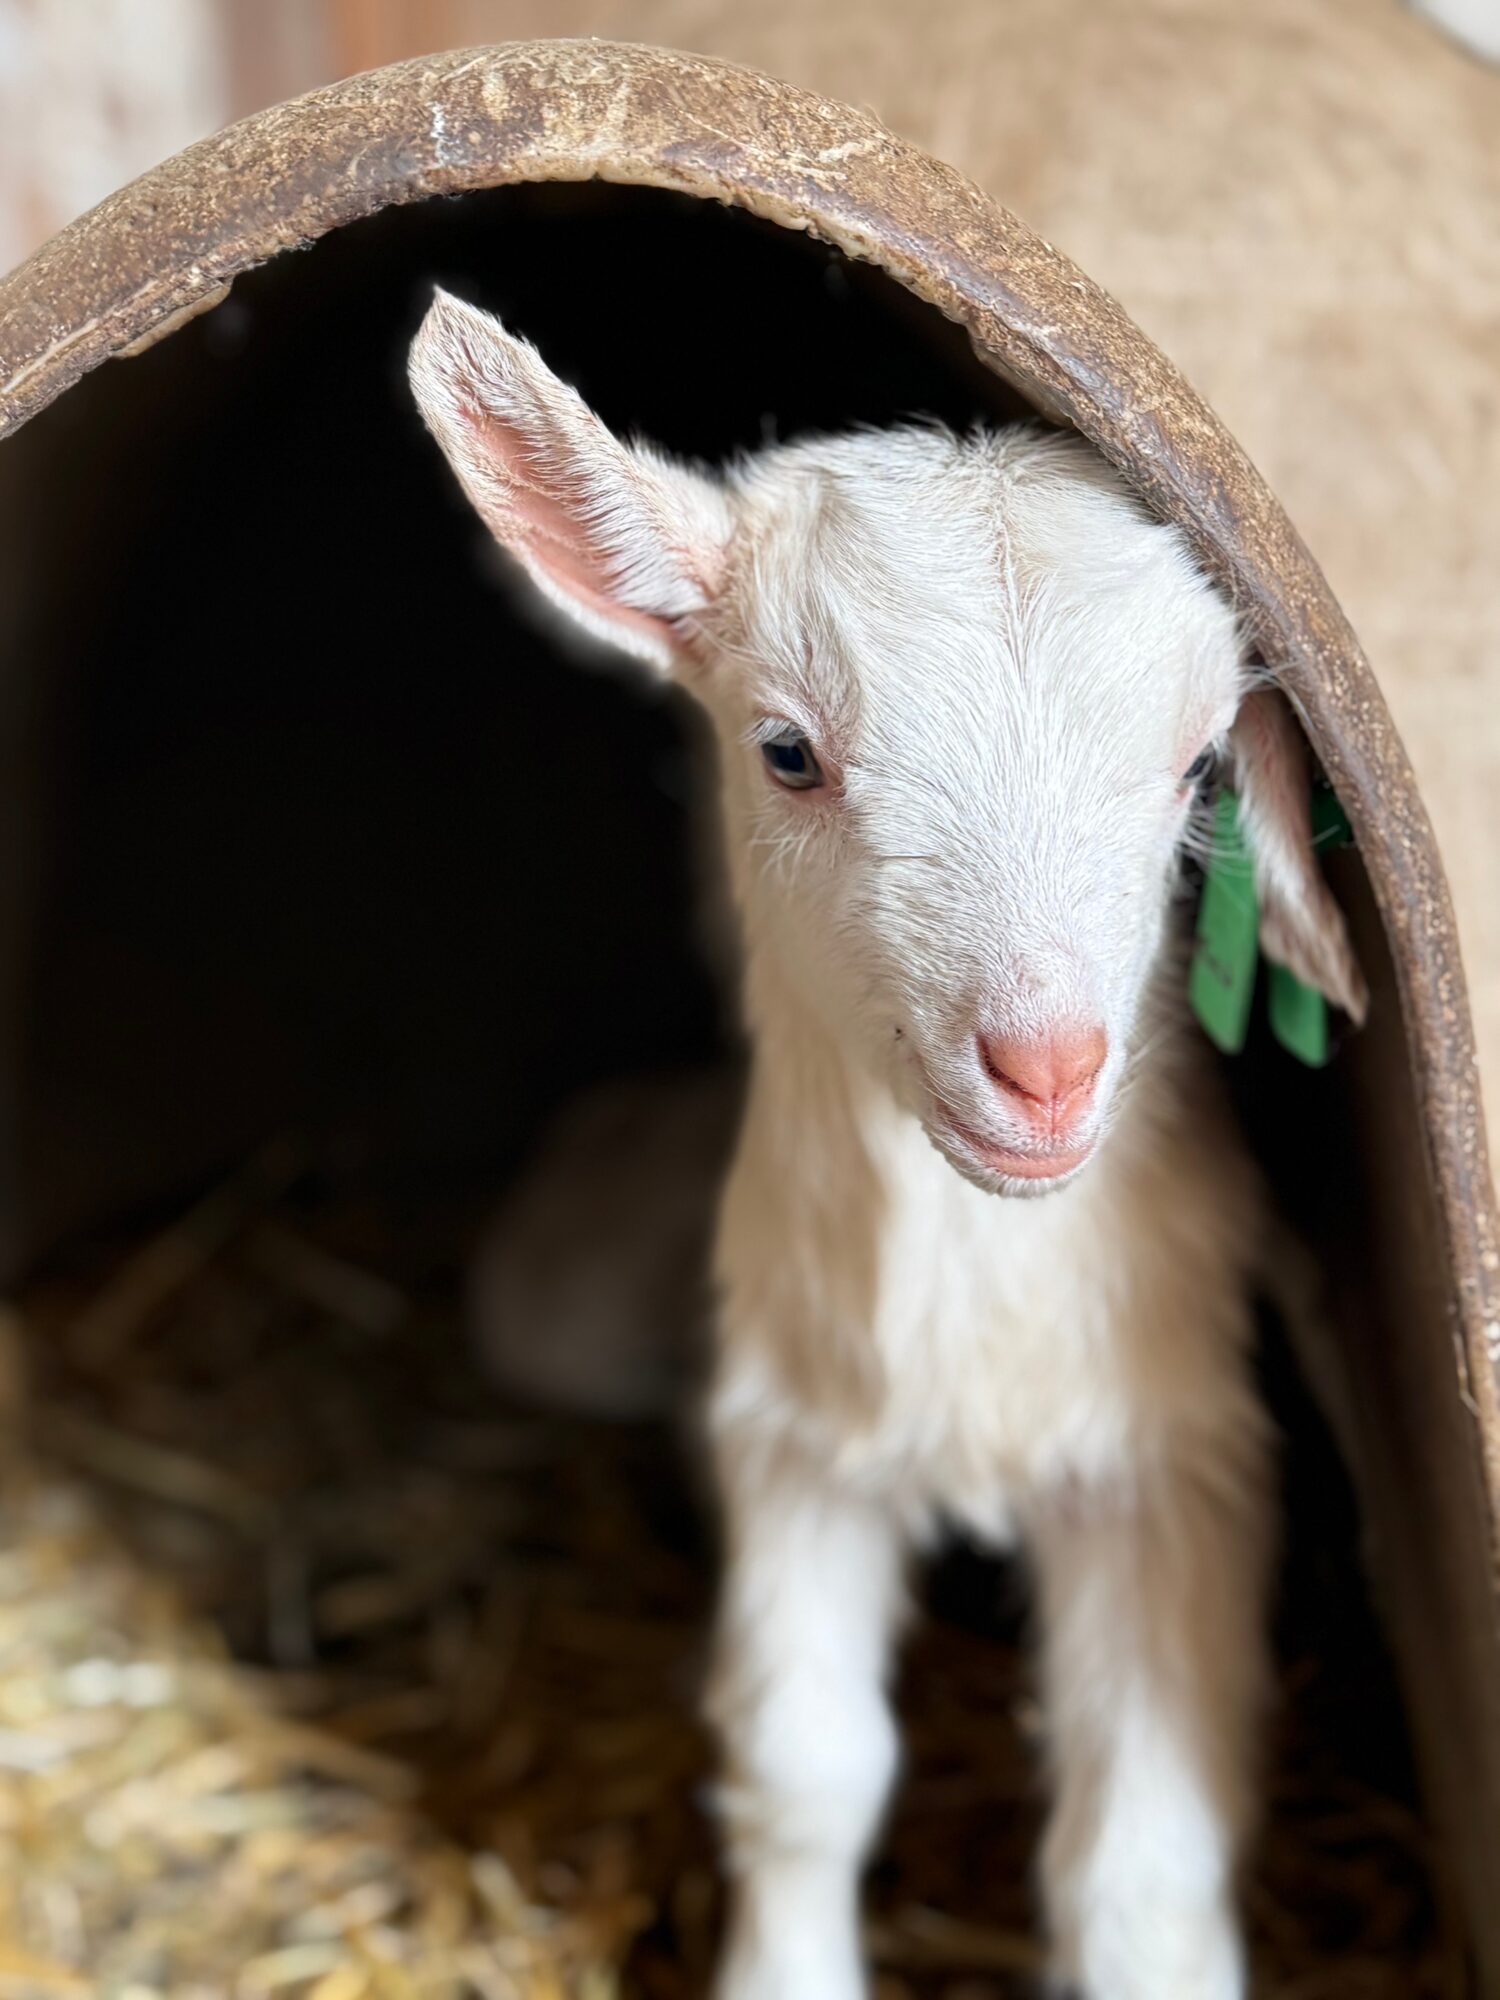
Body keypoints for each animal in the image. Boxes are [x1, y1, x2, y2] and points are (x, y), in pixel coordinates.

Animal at [408, 288, 1367, 2000]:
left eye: (1200, 765)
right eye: (787, 751)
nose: (1045, 1069)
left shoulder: (1169, 1453)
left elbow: (1143, 1852)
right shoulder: (792, 1433)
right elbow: (807, 1769)